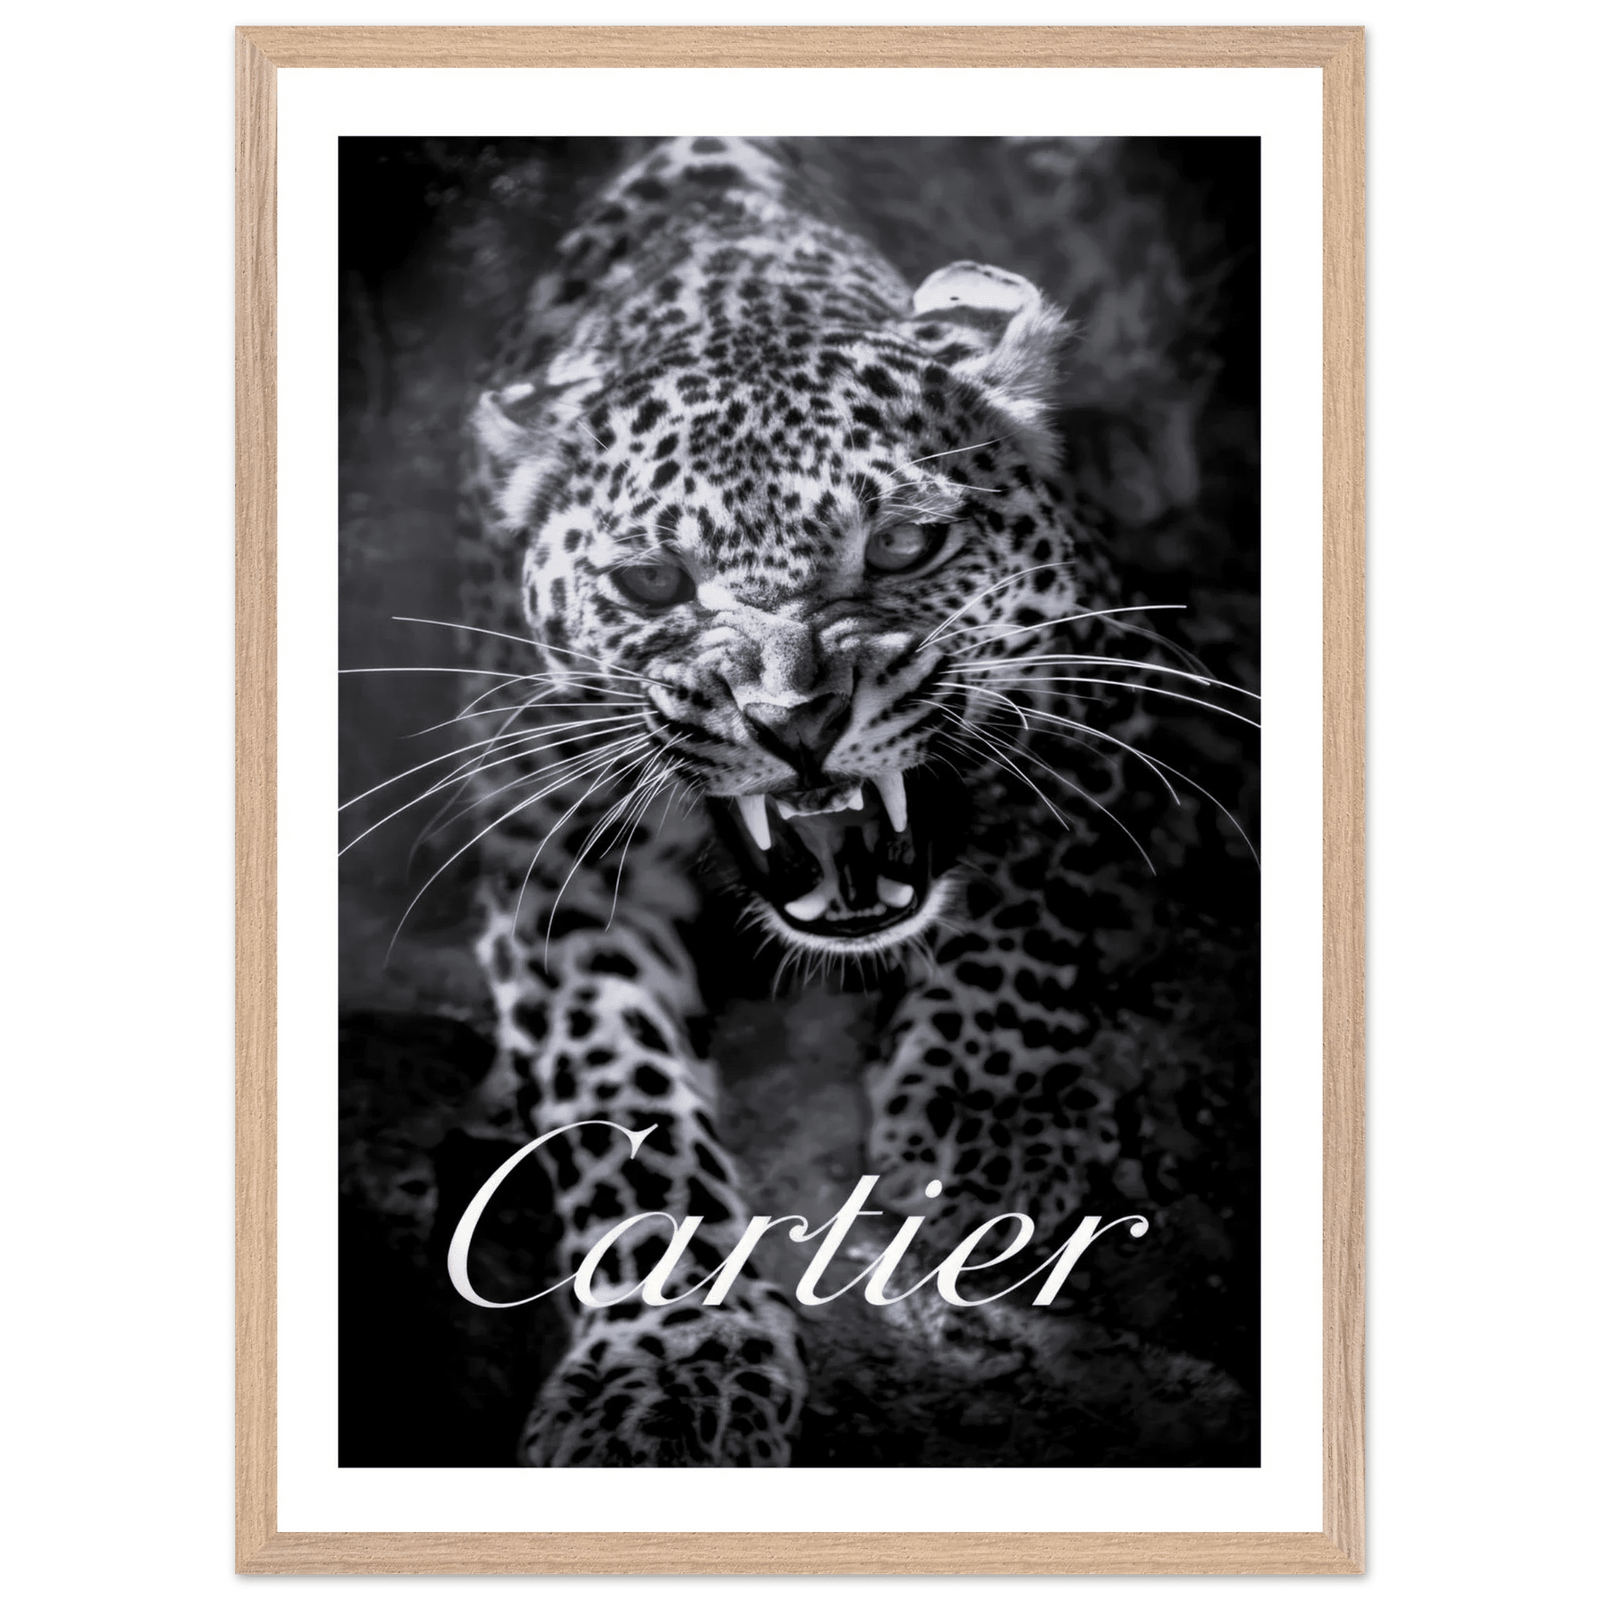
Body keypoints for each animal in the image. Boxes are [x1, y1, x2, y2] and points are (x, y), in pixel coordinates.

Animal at [349, 136, 1259, 1468]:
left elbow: (1025, 908)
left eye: (905, 546)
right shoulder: (547, 848)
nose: (794, 720)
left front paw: (979, 1140)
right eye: (649, 581)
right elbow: (613, 1098)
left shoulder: (1097, 677)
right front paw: (665, 1363)